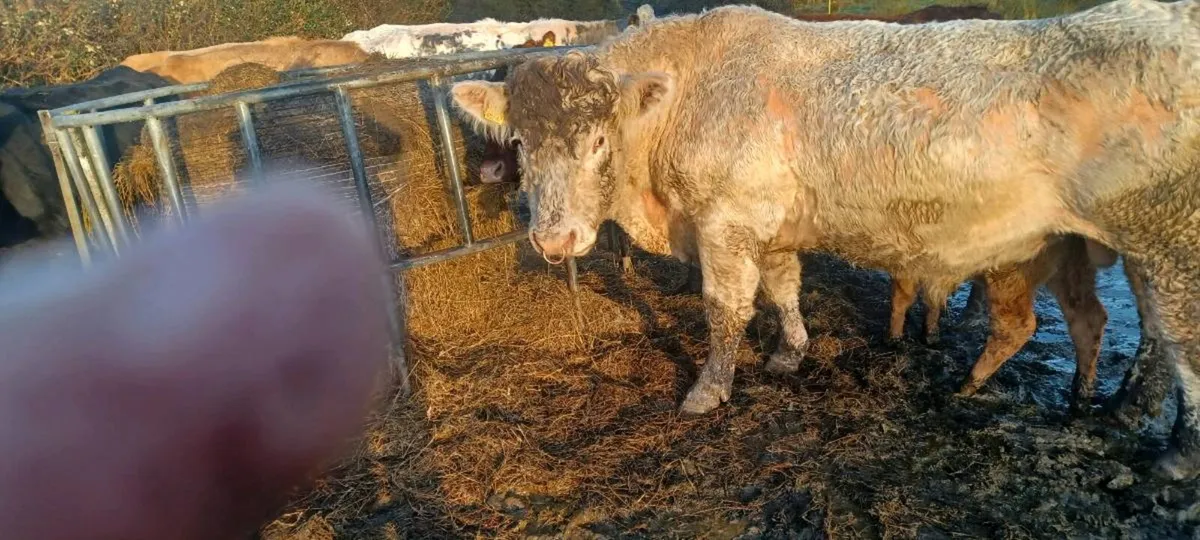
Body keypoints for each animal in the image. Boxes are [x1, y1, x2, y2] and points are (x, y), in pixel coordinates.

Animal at [447, 2, 1200, 479]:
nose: (554, 237)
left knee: (1176, 343)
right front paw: (790, 352)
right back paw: (1085, 401)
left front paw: (708, 391)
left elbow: (725, 310)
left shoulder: (725, 222)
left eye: (599, 140)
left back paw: (1168, 450)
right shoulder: (768, 225)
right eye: (522, 142)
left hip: (1167, 242)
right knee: (1096, 322)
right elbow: (784, 288)